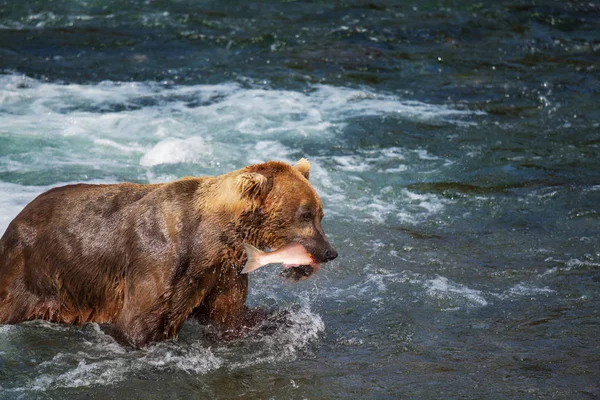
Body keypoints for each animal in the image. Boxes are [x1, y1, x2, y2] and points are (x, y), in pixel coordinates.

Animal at [0, 159, 338, 346]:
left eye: (320, 214)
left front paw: (282, 320)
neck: (211, 240)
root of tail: (15, 220)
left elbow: (230, 318)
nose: (330, 252)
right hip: (32, 272)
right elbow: (137, 325)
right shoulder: (157, 265)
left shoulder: (222, 273)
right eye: (305, 214)